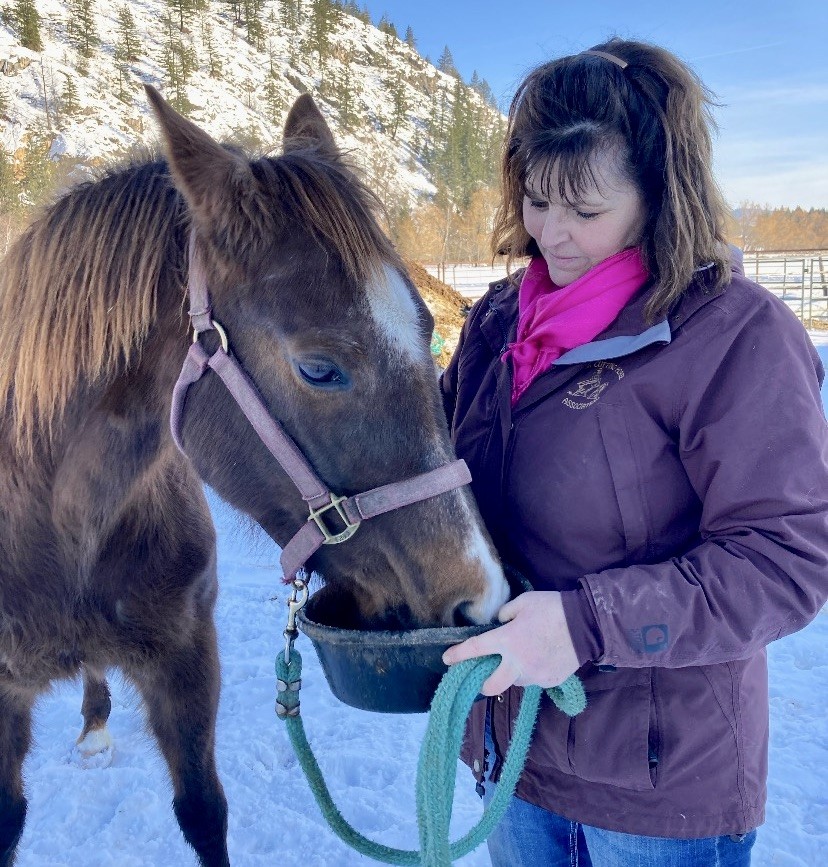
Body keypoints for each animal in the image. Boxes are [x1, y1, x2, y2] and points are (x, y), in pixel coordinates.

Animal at [0, 87, 508, 866]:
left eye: (428, 331)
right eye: (319, 368)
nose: (480, 597)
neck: (58, 521)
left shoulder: (187, 664)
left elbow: (204, 812)